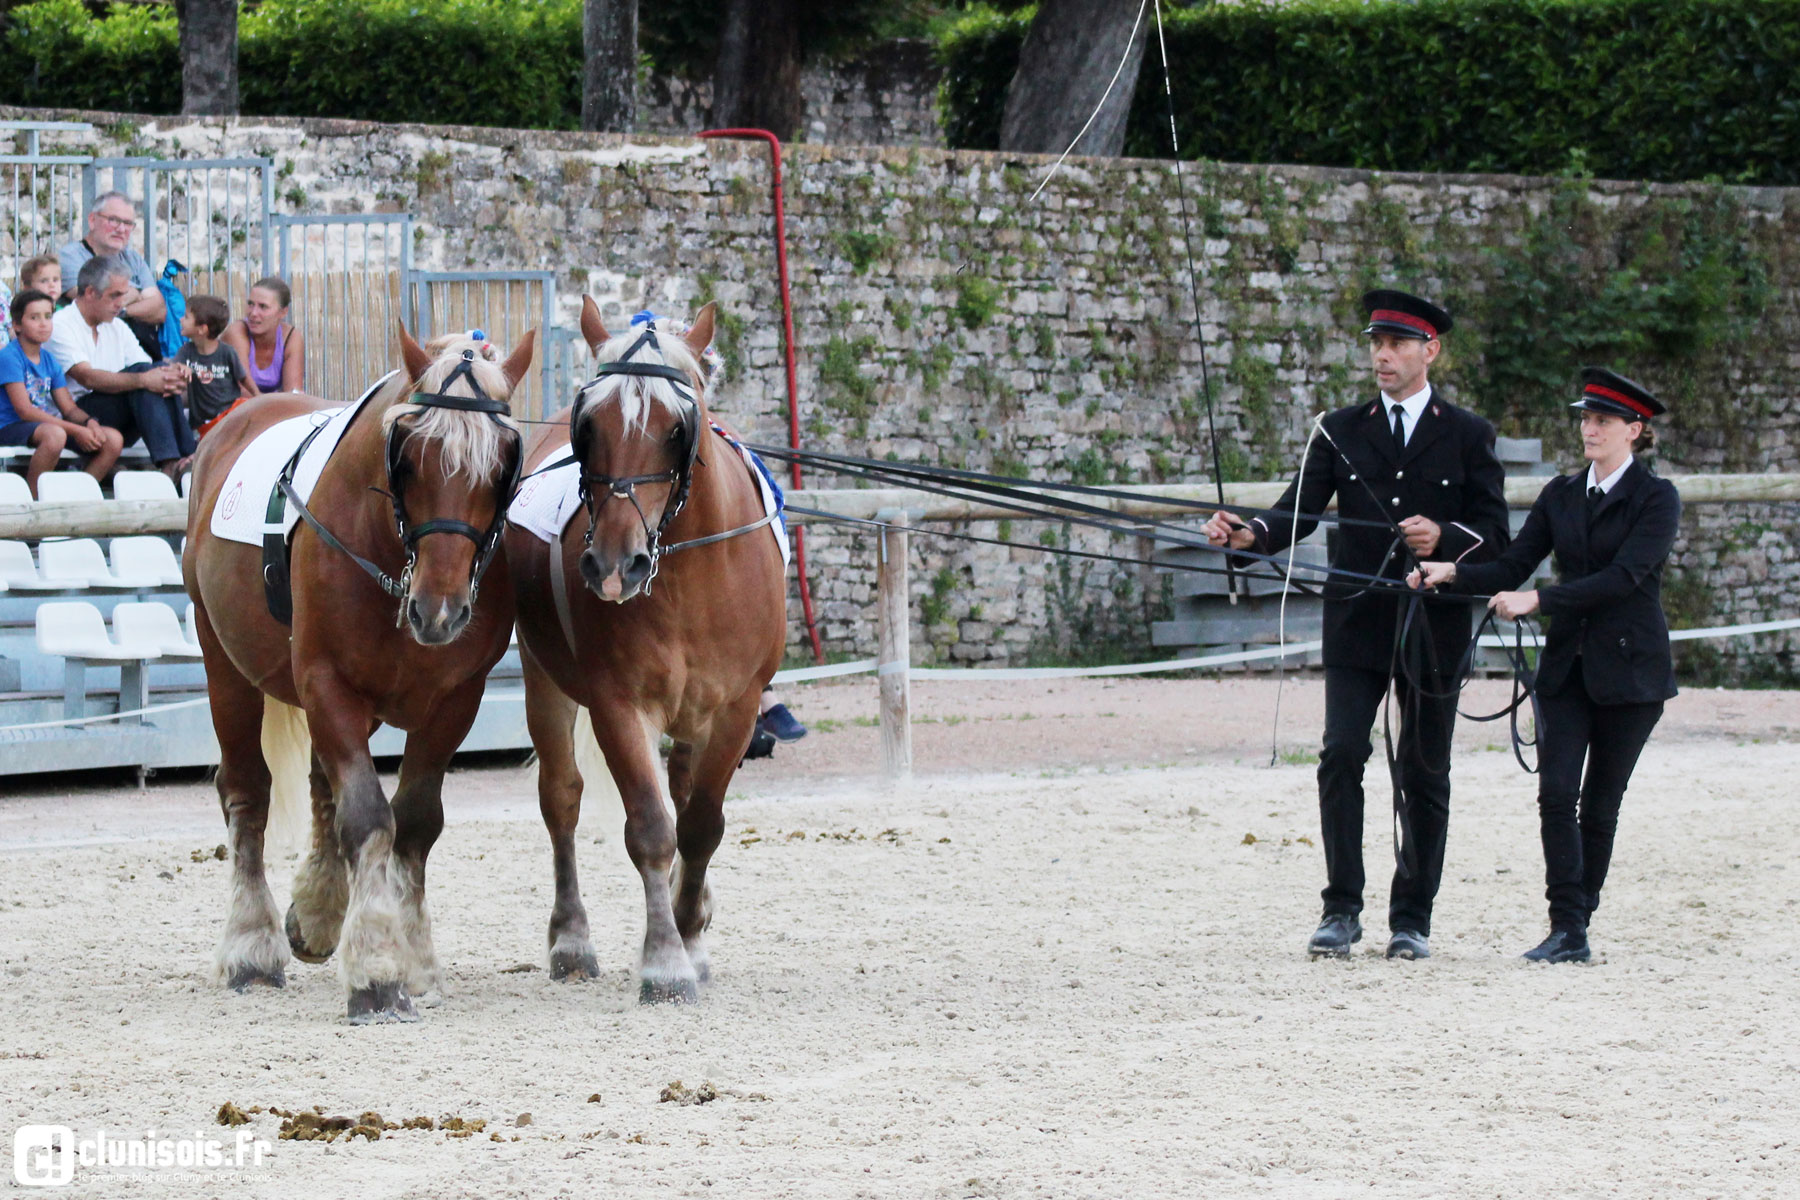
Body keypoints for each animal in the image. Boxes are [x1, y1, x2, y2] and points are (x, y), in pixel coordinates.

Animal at [182, 325, 532, 1021]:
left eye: (503, 464)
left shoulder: (457, 700)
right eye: (410, 456)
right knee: (246, 791)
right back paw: (251, 945)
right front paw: (376, 968)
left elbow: (415, 820)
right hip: (225, 666)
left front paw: (414, 959)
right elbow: (369, 816)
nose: (439, 610)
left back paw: (318, 911)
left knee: (322, 783)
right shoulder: (327, 684)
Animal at [507, 302, 788, 1007]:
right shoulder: (618, 706)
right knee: (562, 799)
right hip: (544, 682)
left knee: (686, 792)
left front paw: (690, 936)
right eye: (590, 427)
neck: (692, 573)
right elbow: (652, 829)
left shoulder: (739, 709)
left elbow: (702, 825)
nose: (614, 565)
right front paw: (665, 961)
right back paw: (571, 940)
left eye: (675, 429)